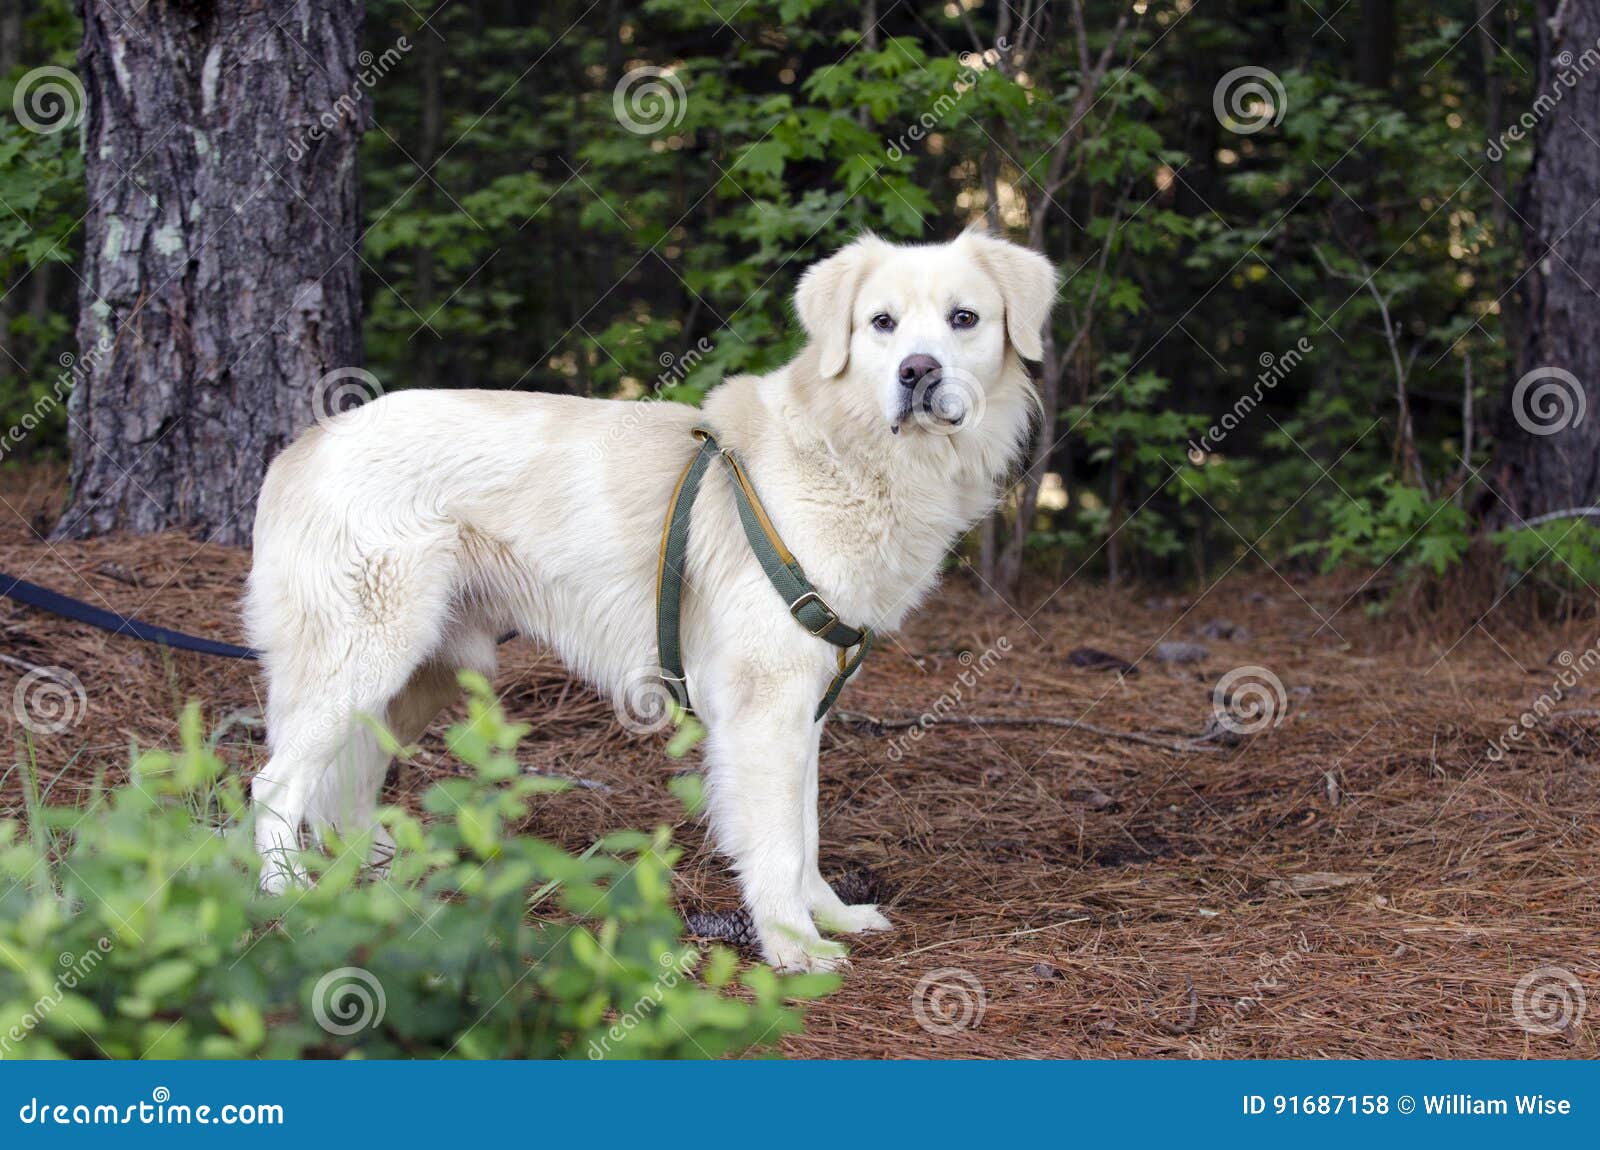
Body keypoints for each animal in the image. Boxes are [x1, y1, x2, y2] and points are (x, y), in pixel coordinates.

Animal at [246, 233, 1049, 972]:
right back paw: (288, 899)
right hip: (363, 660)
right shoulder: (764, 708)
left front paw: (832, 916)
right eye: (882, 323)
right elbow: (779, 842)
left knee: (349, 787)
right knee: (277, 784)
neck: (848, 456)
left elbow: (806, 829)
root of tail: (310, 440)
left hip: (419, 675)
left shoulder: (805, 706)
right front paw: (793, 948)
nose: (919, 371)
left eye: (964, 318)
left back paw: (374, 885)